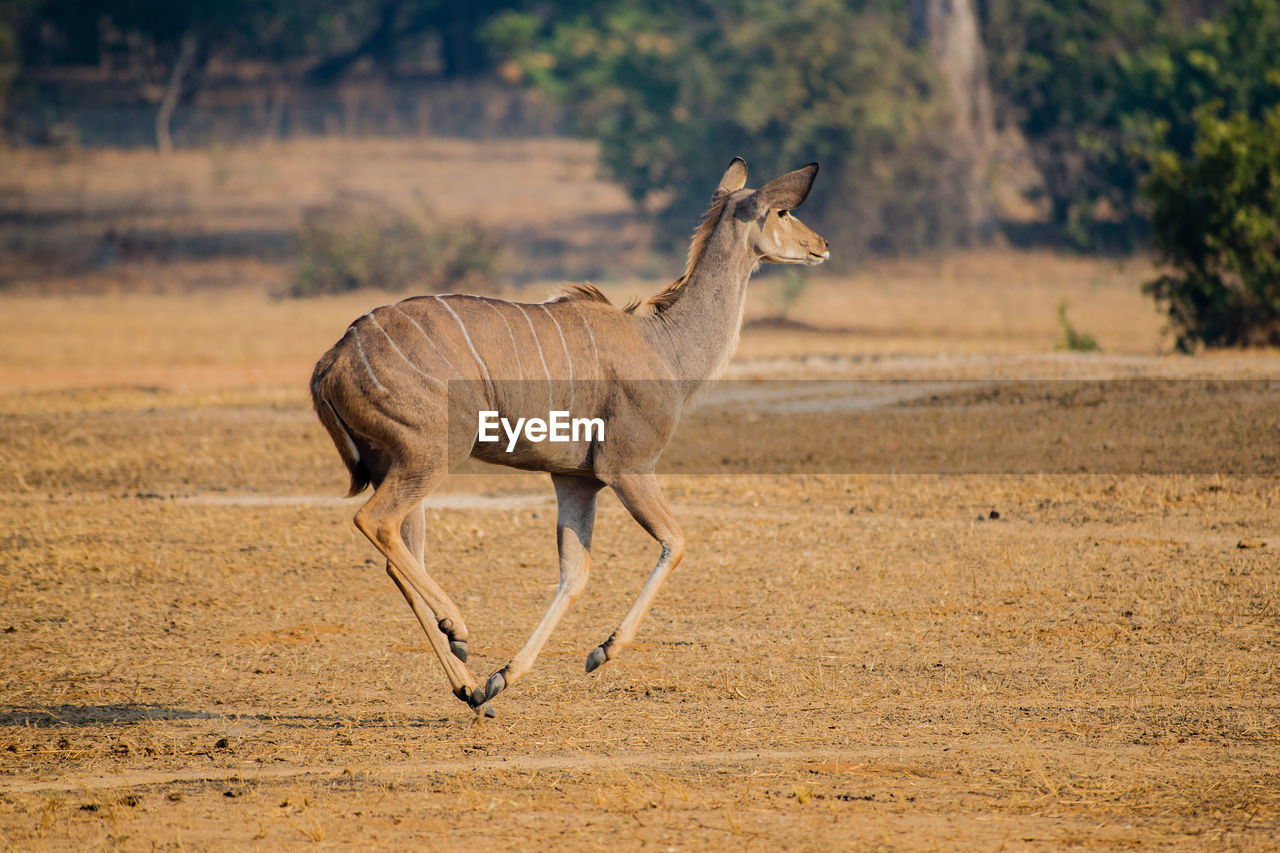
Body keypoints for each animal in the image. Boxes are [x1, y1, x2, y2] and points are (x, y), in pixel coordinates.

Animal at [311, 154, 829, 712]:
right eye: (783, 210)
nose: (821, 244)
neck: (664, 347)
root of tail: (334, 359)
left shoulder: (577, 481)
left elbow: (574, 575)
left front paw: (502, 677)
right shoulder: (628, 469)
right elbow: (676, 541)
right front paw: (602, 651)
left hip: (400, 464)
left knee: (399, 558)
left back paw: (470, 687)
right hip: (431, 454)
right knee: (375, 521)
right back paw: (459, 627)